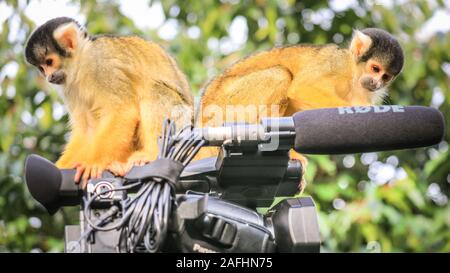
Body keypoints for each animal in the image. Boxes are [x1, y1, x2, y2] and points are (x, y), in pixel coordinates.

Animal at [25, 17, 193, 187]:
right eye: (42, 68)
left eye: (49, 62)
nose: (49, 77)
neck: (81, 64)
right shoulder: (69, 88)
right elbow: (87, 130)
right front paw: (59, 168)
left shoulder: (101, 66)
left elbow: (122, 111)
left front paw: (93, 163)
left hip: (181, 122)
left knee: (154, 90)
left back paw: (152, 154)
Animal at [197, 27, 404, 189]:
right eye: (375, 69)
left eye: (385, 76)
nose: (377, 83)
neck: (354, 75)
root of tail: (202, 119)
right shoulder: (337, 63)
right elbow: (302, 88)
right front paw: (359, 109)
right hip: (226, 105)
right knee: (280, 75)